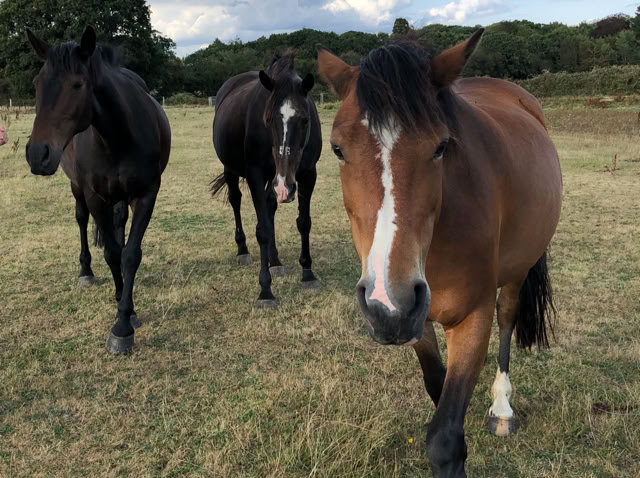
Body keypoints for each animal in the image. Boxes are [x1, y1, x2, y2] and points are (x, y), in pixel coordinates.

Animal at [25, 26, 171, 355]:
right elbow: (113, 254)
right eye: (37, 84)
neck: (117, 136)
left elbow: (130, 254)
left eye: (77, 84)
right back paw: (86, 273)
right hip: (77, 188)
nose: (37, 154)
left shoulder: (146, 195)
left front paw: (124, 321)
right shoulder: (95, 197)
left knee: (119, 226)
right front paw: (122, 310)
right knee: (81, 220)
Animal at [211, 50, 322, 308]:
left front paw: (308, 273)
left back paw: (275, 261)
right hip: (233, 170)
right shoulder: (256, 174)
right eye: (268, 119)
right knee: (236, 200)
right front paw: (265, 290)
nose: (285, 188)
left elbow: (304, 222)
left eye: (305, 120)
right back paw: (242, 250)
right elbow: (261, 230)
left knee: (270, 207)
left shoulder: (308, 174)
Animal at [317, 30, 562, 477]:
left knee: (507, 316)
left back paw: (502, 408)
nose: (386, 301)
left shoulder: (472, 319)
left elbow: (446, 438)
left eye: (441, 146)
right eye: (338, 149)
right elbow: (437, 387)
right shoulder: (416, 320)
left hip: (517, 271)